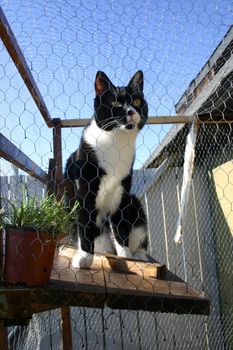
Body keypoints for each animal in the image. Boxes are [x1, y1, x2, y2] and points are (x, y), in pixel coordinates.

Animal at [65, 71, 149, 268]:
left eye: (137, 101)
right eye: (116, 104)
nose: (131, 111)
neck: (116, 140)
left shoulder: (122, 191)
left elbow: (120, 225)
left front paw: (125, 254)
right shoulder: (84, 190)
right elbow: (85, 224)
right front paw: (85, 256)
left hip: (134, 202)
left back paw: (139, 255)